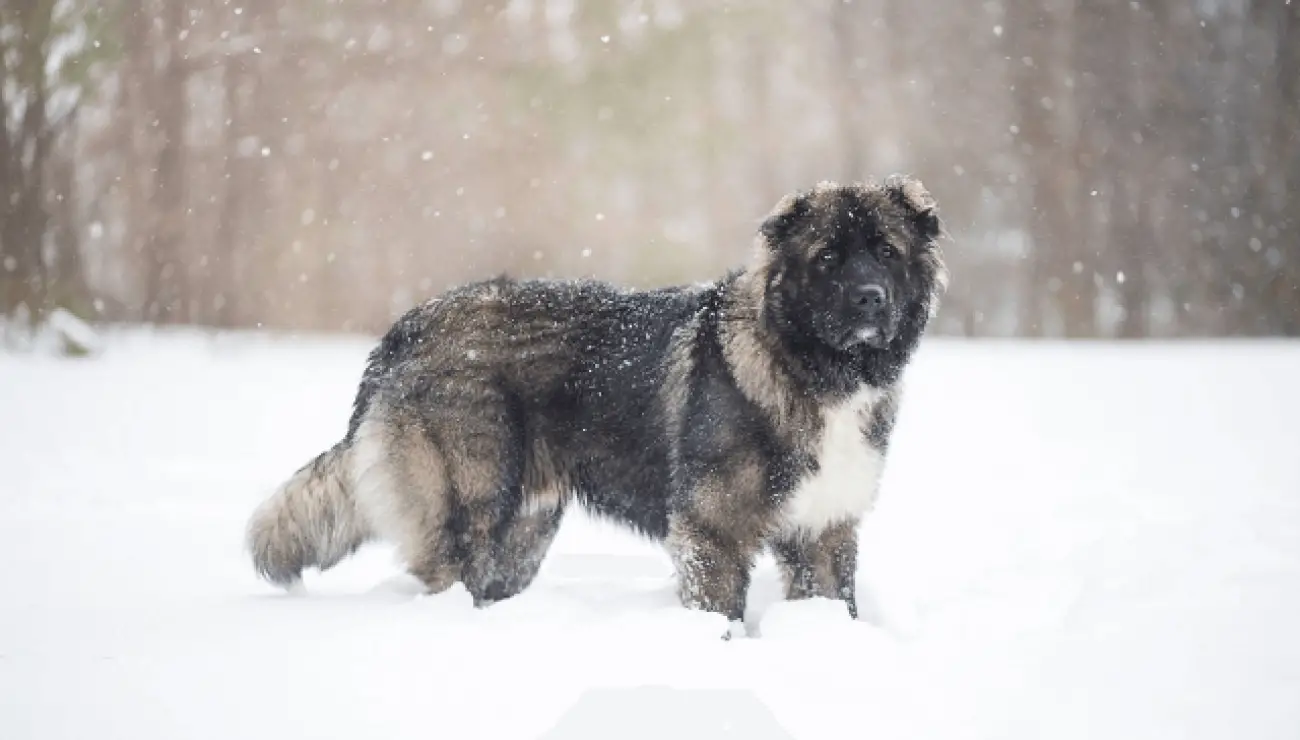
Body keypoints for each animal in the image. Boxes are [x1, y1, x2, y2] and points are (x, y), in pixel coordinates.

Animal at [248, 174, 951, 629]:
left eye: (886, 252)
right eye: (827, 257)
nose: (870, 299)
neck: (814, 368)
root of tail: (408, 327)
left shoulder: (825, 530)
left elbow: (838, 604)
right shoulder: (713, 532)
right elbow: (720, 613)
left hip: (524, 532)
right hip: (469, 510)